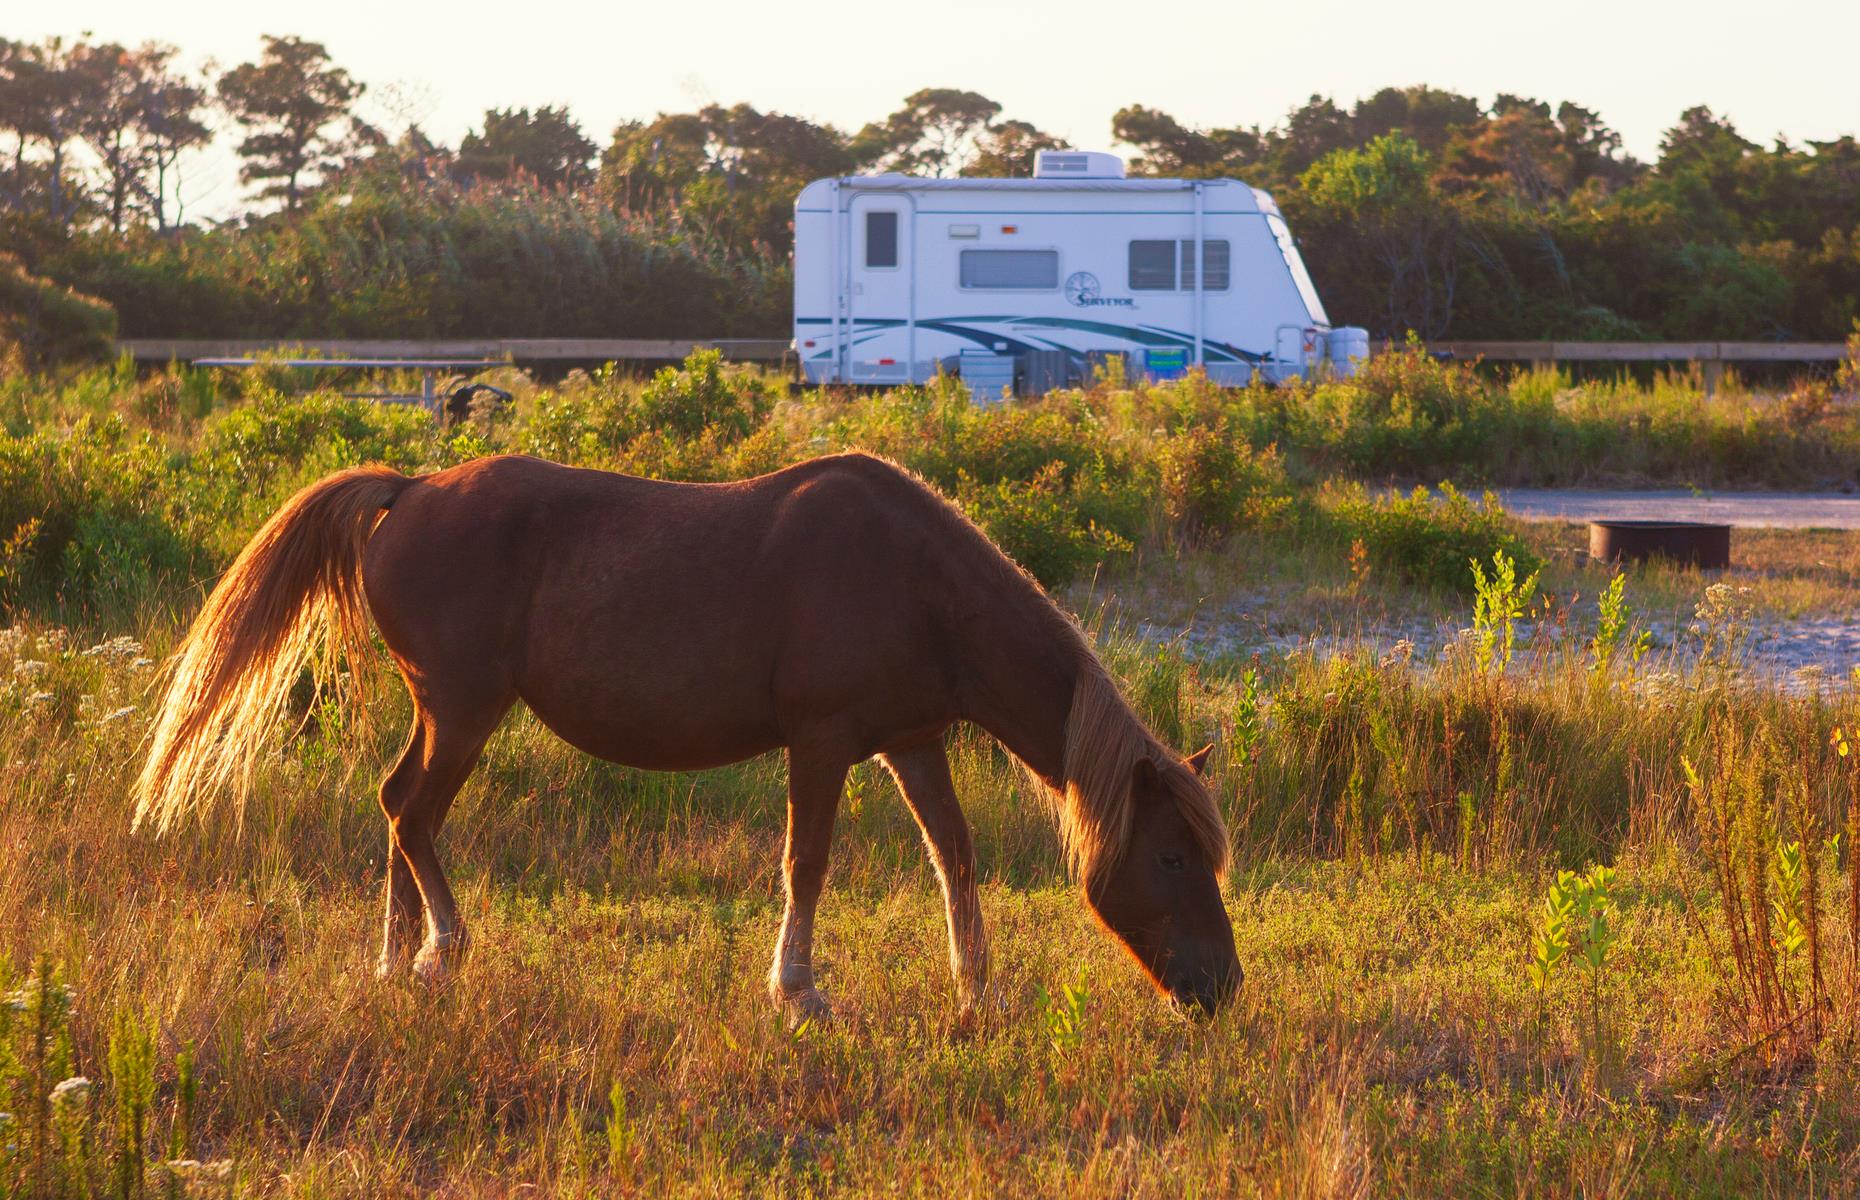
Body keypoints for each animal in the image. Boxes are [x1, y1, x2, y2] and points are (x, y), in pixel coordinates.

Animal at [137, 453, 1242, 1012]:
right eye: (1173, 857)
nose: (1222, 988)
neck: (914, 580)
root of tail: (409, 489)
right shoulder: (823, 742)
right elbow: (807, 862)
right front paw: (797, 992)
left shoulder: (912, 740)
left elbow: (954, 856)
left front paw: (978, 994)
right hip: (463, 710)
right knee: (413, 814)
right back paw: (441, 954)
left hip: (443, 712)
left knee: (397, 809)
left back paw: (395, 960)